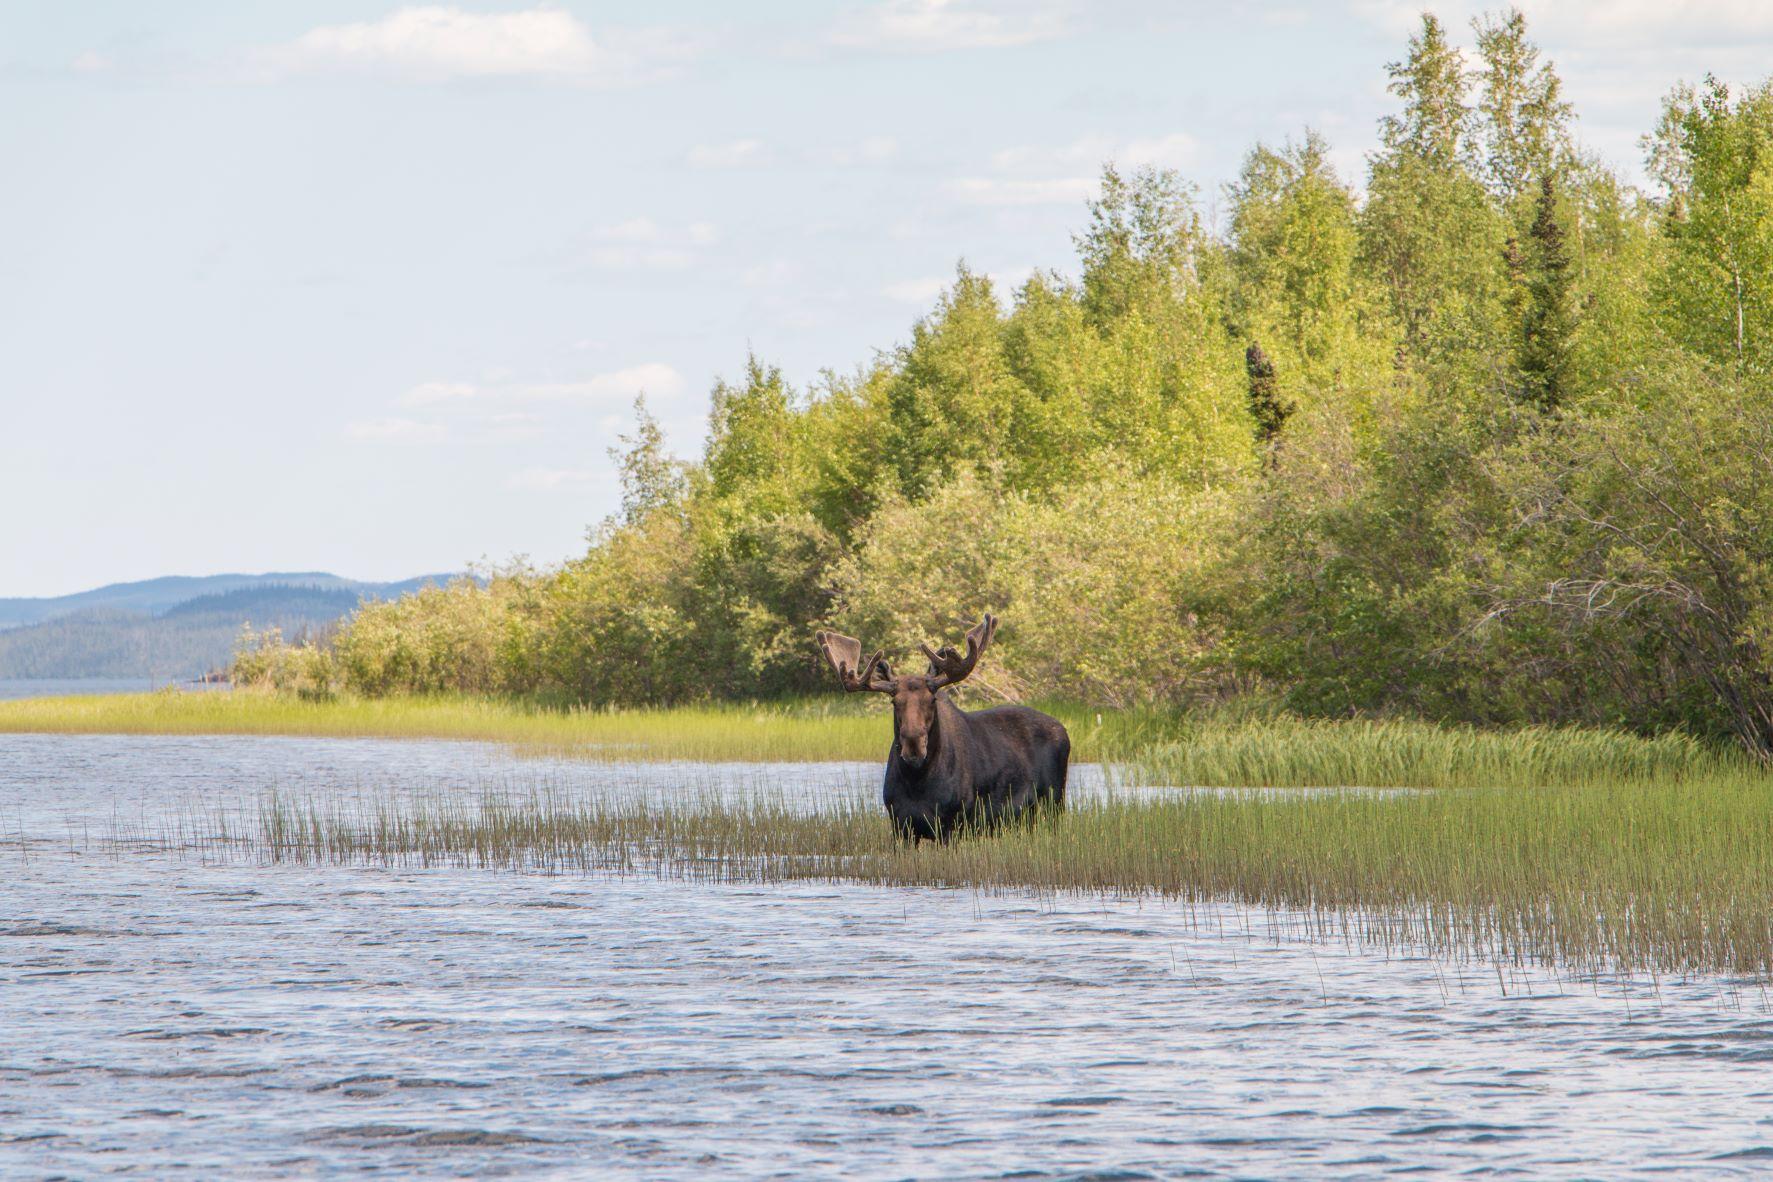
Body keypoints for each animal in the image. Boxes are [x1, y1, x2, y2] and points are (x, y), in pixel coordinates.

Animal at [814, 614, 1070, 842]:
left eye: (932, 699)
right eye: (894, 702)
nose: (914, 747)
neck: (916, 781)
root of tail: (1064, 731)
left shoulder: (951, 824)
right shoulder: (900, 827)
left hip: (1053, 804)